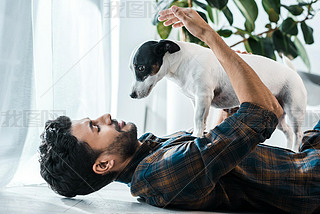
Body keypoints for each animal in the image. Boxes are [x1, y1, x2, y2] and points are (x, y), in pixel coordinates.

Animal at [129, 39, 308, 150]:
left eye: (141, 68)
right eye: (132, 68)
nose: (131, 95)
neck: (180, 61)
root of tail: (293, 73)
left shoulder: (204, 96)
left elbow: (198, 118)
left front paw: (196, 135)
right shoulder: (197, 100)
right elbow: (201, 120)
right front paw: (198, 131)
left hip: (294, 111)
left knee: (298, 134)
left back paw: (295, 151)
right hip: (277, 115)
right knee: (289, 132)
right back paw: (287, 150)